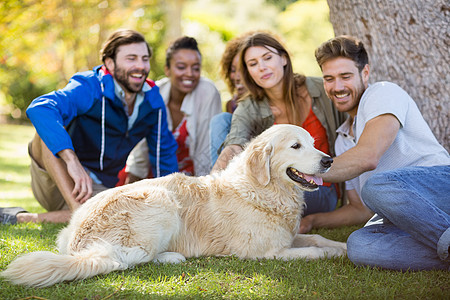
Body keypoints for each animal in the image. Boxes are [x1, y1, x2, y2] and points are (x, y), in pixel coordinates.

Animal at [2, 123, 344, 288]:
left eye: (313, 144)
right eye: (296, 146)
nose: (329, 160)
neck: (263, 191)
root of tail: (79, 244)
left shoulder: (290, 235)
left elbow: (318, 238)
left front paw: (340, 246)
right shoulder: (267, 252)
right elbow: (314, 252)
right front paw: (335, 253)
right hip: (161, 199)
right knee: (129, 260)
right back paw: (172, 257)